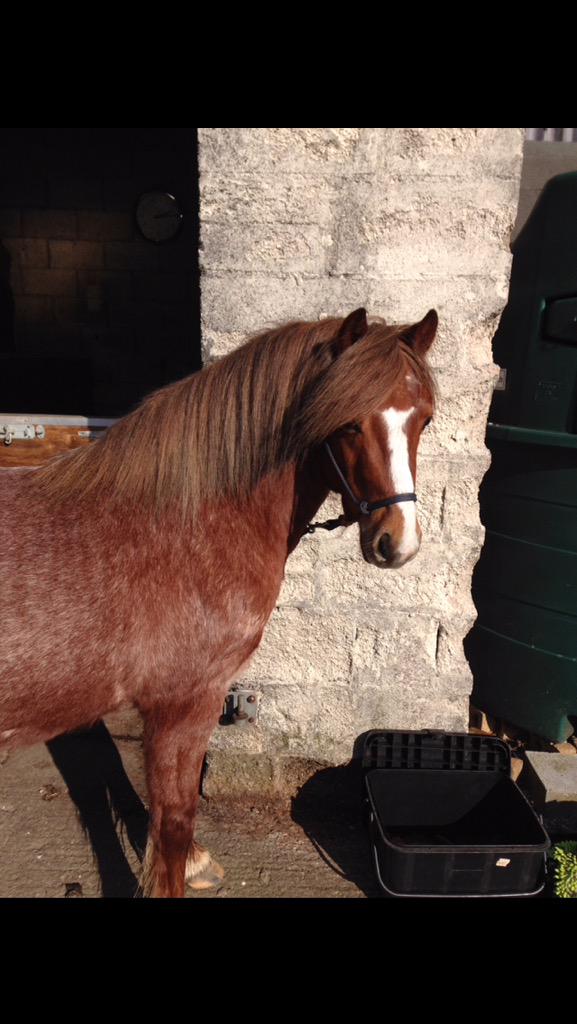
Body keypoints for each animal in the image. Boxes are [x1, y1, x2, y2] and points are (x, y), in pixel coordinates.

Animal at [0, 307, 437, 897]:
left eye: (424, 420)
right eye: (347, 423)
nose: (398, 543)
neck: (187, 527)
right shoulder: (184, 704)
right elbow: (175, 819)